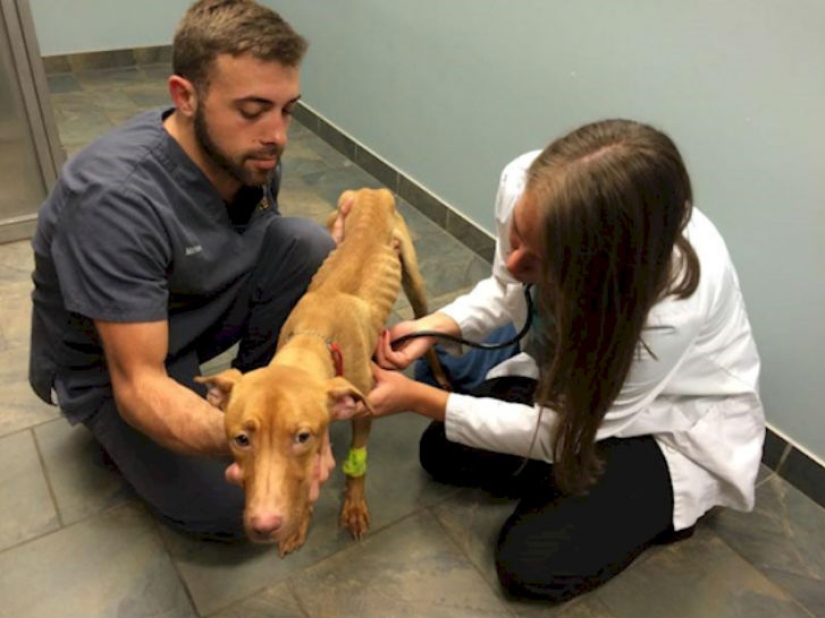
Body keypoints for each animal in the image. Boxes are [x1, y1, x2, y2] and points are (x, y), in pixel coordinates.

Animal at [197, 186, 444, 552]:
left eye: (301, 436)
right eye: (241, 439)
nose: (264, 525)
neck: (314, 337)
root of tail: (373, 191)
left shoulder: (362, 410)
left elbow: (356, 464)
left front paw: (353, 507)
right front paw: (301, 521)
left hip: (415, 284)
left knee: (428, 329)